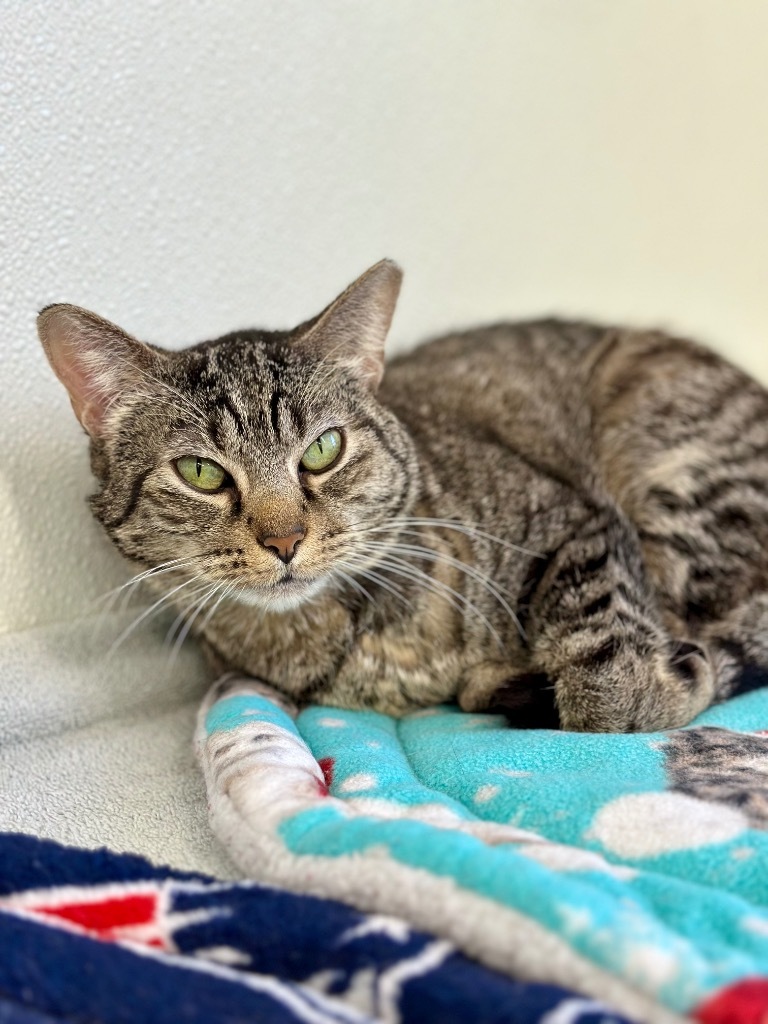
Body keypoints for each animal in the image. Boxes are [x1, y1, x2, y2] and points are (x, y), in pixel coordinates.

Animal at [37, 260, 768, 733]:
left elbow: (608, 683)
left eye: (323, 451)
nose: (284, 539)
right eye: (201, 473)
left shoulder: (579, 520)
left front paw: (650, 689)